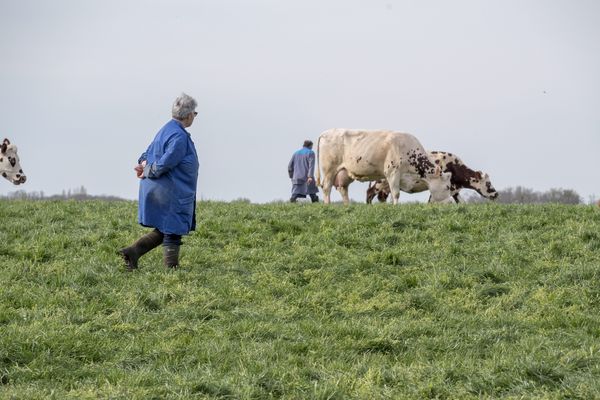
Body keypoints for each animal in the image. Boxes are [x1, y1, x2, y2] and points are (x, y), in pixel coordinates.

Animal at [316, 129, 452, 205]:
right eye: (447, 187)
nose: (451, 202)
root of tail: (326, 132)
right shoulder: (392, 172)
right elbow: (396, 193)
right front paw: (395, 207)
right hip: (329, 170)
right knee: (326, 187)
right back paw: (327, 205)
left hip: (345, 173)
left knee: (343, 189)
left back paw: (347, 206)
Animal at [364, 150, 500, 203]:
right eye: (488, 183)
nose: (496, 194)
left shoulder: (453, 189)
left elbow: (462, 203)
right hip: (380, 182)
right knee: (370, 192)